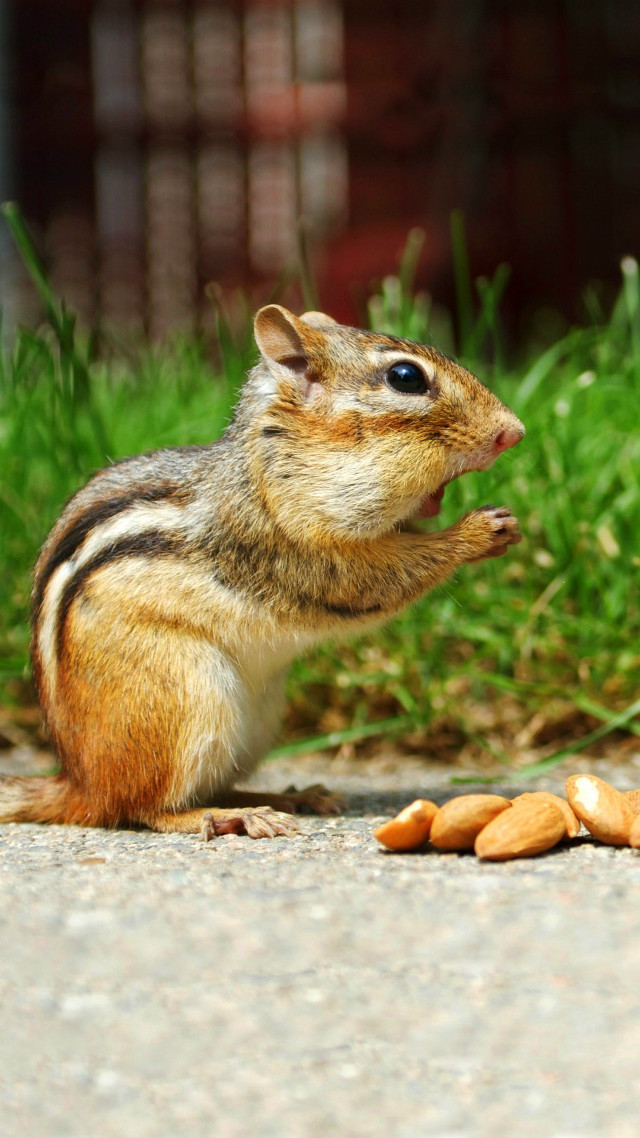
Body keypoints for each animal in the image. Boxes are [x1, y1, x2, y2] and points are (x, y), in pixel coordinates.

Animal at [0, 306, 524, 839]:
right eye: (406, 377)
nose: (515, 431)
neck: (272, 469)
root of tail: (78, 782)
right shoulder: (296, 550)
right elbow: (376, 578)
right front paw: (478, 531)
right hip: (186, 697)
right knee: (144, 807)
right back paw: (228, 816)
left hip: (254, 721)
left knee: (210, 785)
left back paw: (288, 797)